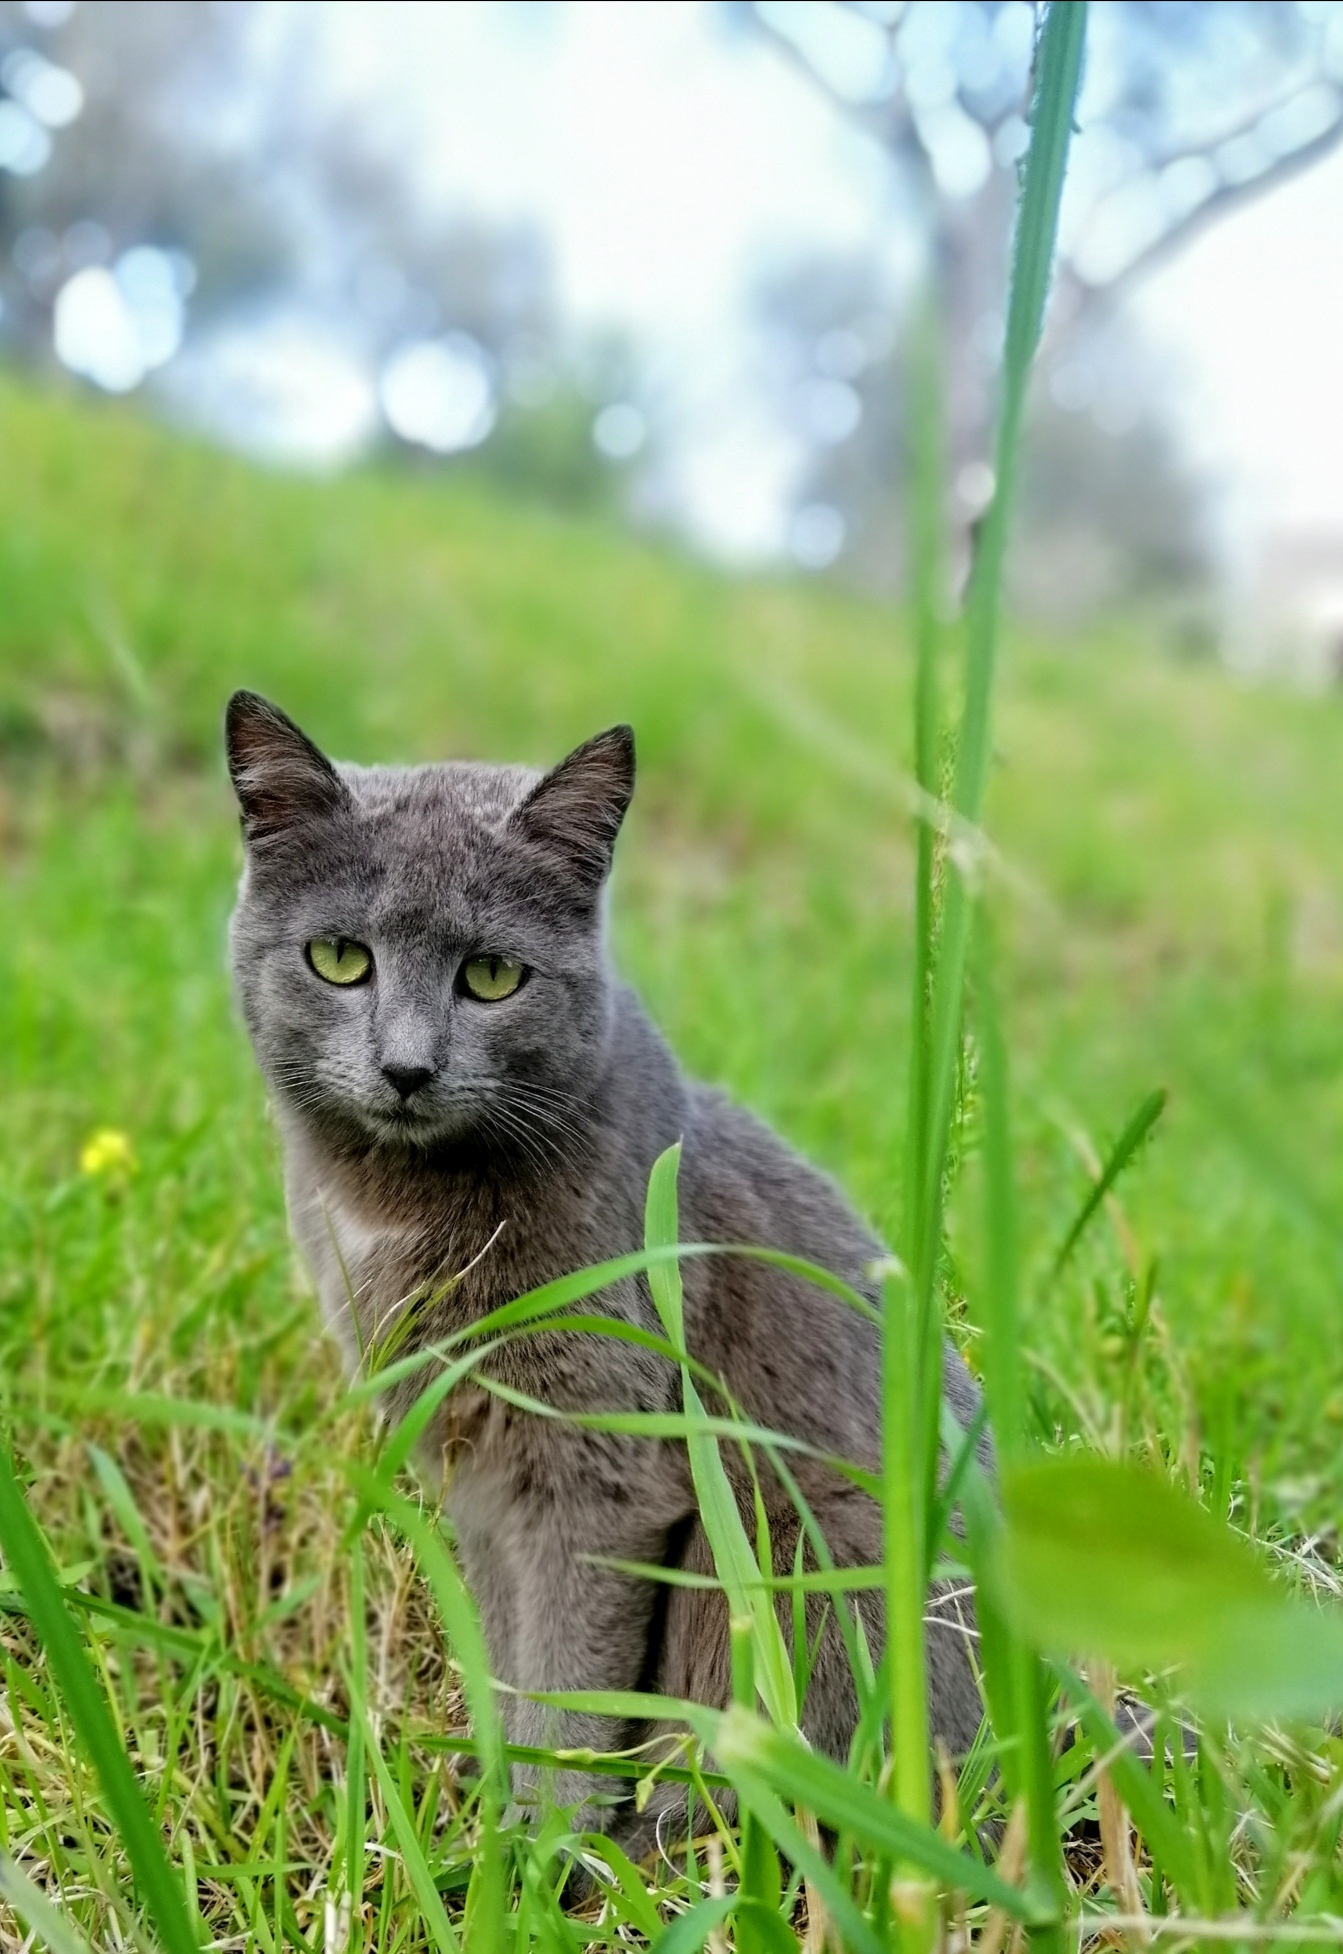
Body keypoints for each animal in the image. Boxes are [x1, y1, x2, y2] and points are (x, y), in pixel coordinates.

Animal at [225, 691, 981, 1860]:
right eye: (340, 957)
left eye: (492, 975)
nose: (407, 1068)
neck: (394, 1206)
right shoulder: (470, 1460)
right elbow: (509, 1654)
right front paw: (492, 1810)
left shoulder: (598, 1465)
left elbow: (569, 1680)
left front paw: (542, 1853)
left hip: (794, 1558)